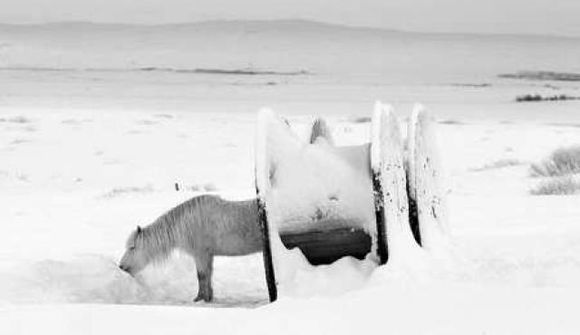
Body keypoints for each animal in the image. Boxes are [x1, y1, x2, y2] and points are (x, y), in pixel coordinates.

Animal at [120, 194, 262, 302]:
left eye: (132, 247)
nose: (121, 266)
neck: (187, 224)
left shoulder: (200, 255)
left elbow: (201, 276)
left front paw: (200, 298)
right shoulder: (208, 255)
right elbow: (208, 275)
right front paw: (208, 297)